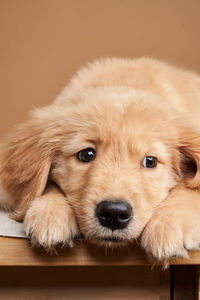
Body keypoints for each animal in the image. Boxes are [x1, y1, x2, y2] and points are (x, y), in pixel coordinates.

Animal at [0, 56, 200, 262]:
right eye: (86, 154)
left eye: (150, 161)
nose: (114, 213)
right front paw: (50, 211)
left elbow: (190, 188)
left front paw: (170, 223)